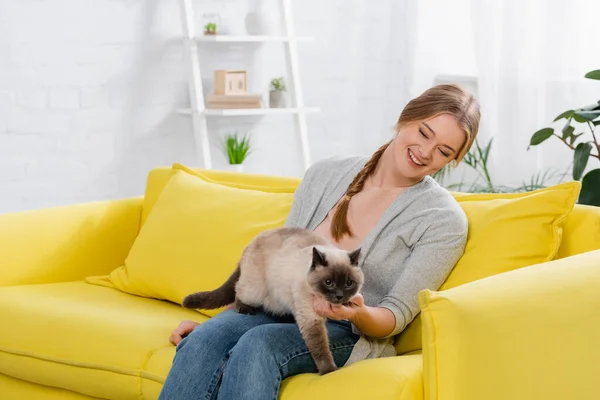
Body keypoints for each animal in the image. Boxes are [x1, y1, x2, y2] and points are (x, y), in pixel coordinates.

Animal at [183, 228, 364, 376]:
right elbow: (320, 348)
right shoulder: (310, 318)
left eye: (349, 283)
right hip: (255, 291)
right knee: (238, 291)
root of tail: (251, 243)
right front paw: (329, 370)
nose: (339, 296)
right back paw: (244, 308)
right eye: (328, 283)